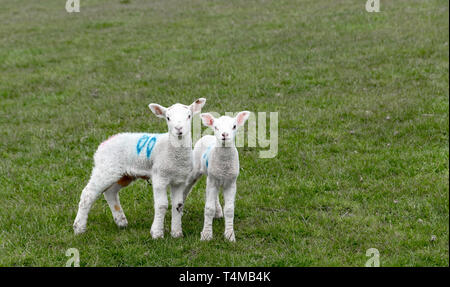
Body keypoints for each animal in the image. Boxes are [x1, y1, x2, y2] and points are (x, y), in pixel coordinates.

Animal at [73, 98, 207, 240]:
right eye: (168, 118)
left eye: (189, 116)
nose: (179, 129)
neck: (173, 151)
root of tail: (104, 143)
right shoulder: (159, 176)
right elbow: (162, 205)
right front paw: (157, 233)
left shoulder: (179, 180)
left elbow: (178, 205)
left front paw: (176, 233)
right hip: (105, 169)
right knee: (88, 194)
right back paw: (79, 228)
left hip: (123, 174)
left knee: (110, 192)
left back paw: (121, 221)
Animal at [184, 111, 253, 242]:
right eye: (216, 127)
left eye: (234, 126)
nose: (224, 134)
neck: (224, 166)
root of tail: (207, 136)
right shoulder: (213, 181)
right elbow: (209, 208)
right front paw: (206, 235)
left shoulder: (231, 183)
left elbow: (230, 210)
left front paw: (230, 235)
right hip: (196, 170)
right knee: (186, 188)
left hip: (213, 176)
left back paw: (218, 211)